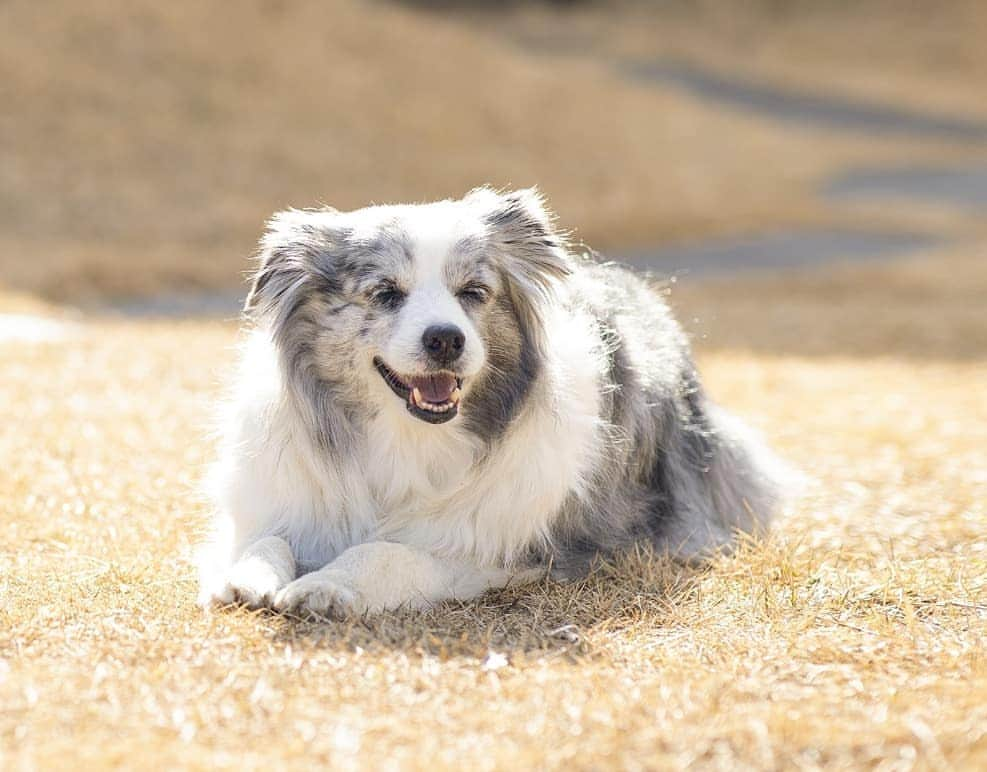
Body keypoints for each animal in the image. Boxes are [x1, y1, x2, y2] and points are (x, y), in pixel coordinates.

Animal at [199, 190, 788, 620]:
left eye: (473, 292)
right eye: (386, 293)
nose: (445, 339)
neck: (409, 438)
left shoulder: (504, 550)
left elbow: (387, 552)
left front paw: (326, 584)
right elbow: (265, 540)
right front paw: (246, 575)